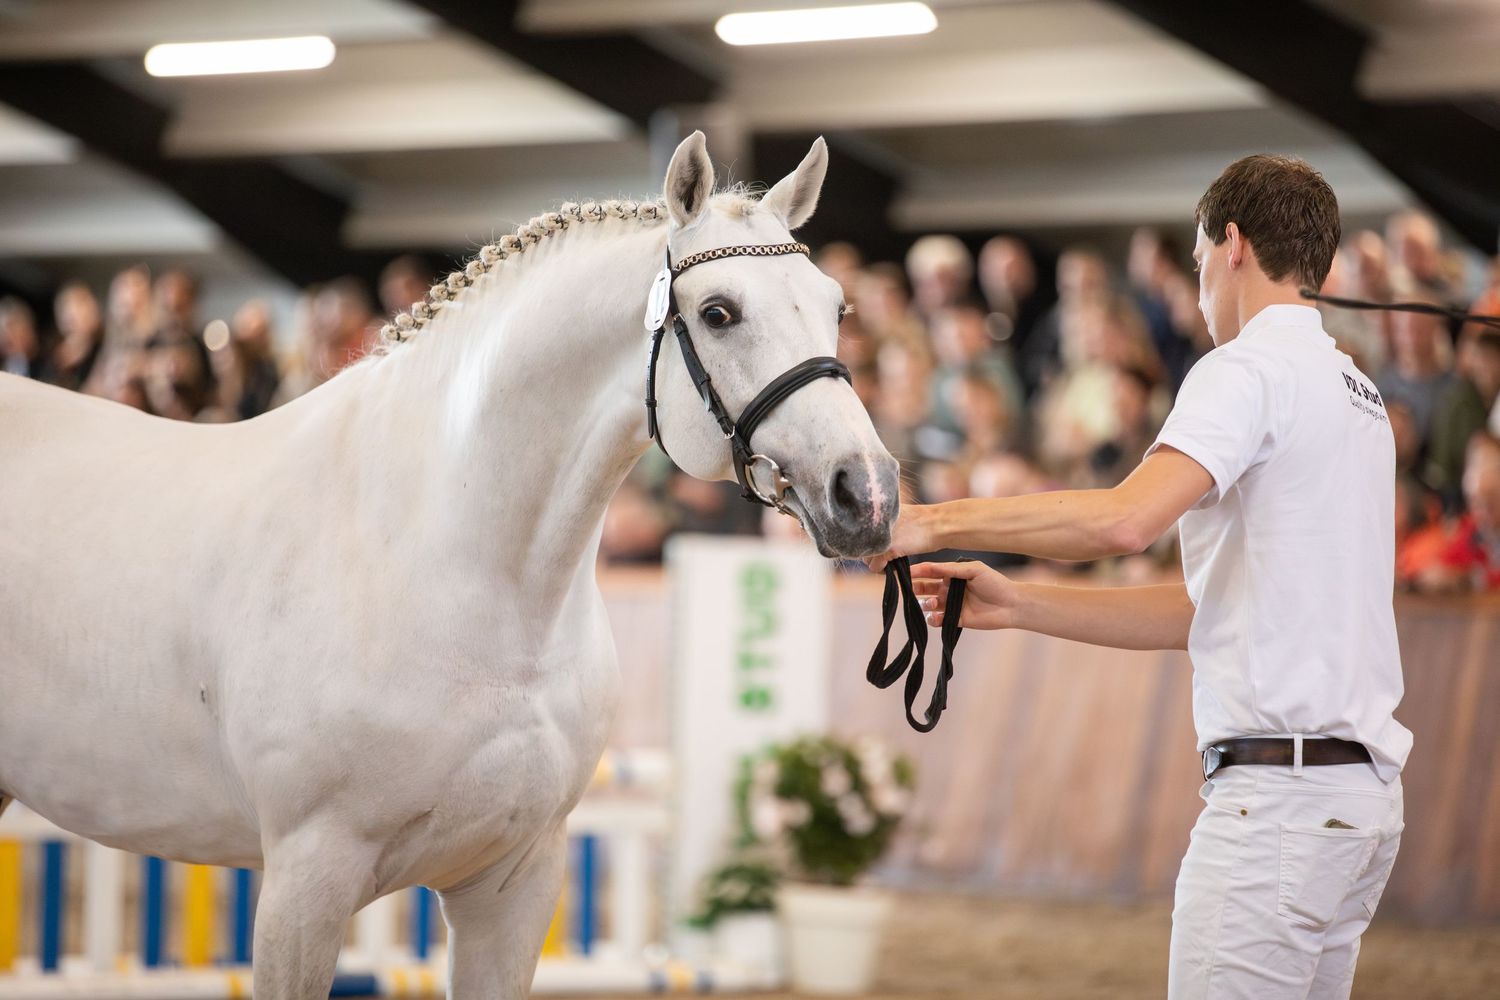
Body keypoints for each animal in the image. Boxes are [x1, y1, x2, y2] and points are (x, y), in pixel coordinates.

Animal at [0, 132, 900, 999]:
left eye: (837, 305)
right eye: (719, 312)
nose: (868, 492)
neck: (446, 555)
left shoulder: (515, 884)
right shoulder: (304, 881)